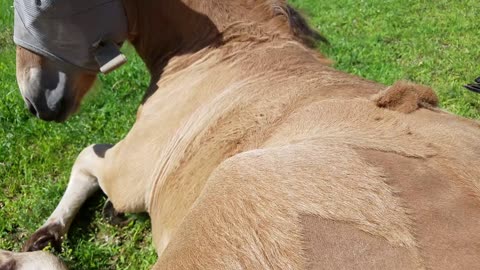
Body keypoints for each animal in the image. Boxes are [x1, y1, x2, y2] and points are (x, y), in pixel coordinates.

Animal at [1, 0, 478, 268]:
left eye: (38, 7)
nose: (35, 101)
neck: (227, 51)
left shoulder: (130, 176)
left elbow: (84, 157)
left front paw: (50, 229)